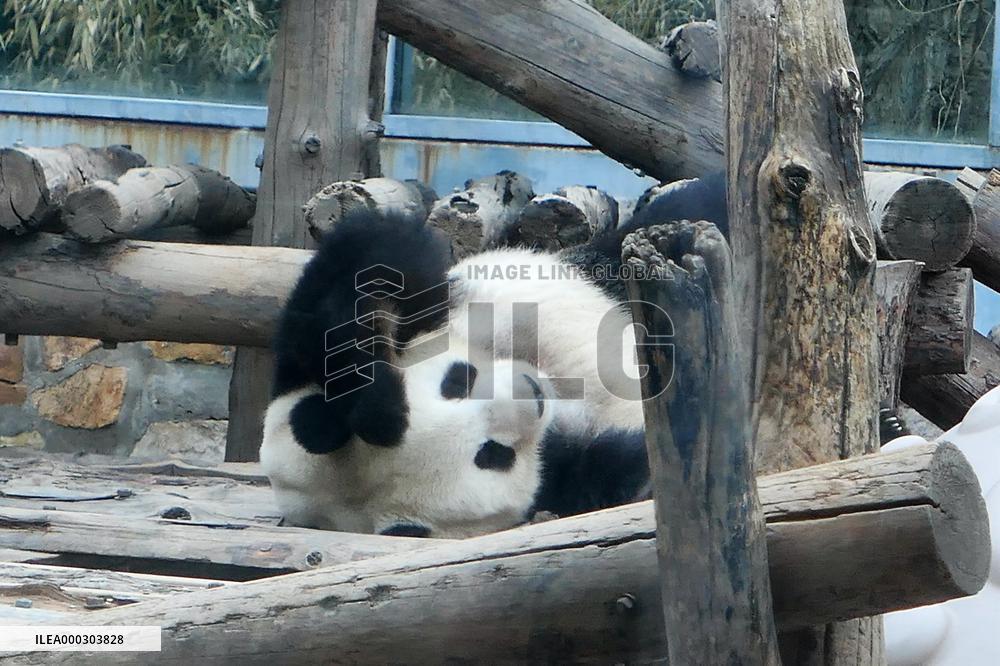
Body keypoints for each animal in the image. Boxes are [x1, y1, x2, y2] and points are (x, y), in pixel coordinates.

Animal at [260, 175, 730, 538]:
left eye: (457, 380)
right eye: (491, 454)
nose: (528, 393)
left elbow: (374, 251)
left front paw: (369, 391)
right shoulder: (570, 475)